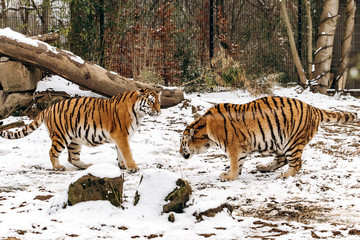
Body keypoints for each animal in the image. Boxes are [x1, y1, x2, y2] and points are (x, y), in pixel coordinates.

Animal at [0, 89, 160, 172]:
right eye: (151, 101)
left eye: (159, 101)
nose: (159, 111)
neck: (138, 113)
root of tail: (48, 108)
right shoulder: (121, 135)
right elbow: (127, 152)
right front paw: (133, 167)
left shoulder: (121, 138)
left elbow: (120, 152)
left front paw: (122, 165)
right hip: (61, 137)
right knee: (53, 152)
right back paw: (58, 167)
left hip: (75, 140)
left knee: (72, 158)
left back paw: (86, 166)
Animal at [180, 95, 358, 180]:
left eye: (182, 144)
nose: (180, 153)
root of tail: (314, 109)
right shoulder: (241, 148)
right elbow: (239, 163)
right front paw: (233, 174)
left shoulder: (234, 146)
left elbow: (234, 163)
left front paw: (229, 176)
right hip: (279, 142)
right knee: (282, 160)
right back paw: (263, 167)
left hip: (293, 142)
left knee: (296, 164)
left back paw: (284, 176)